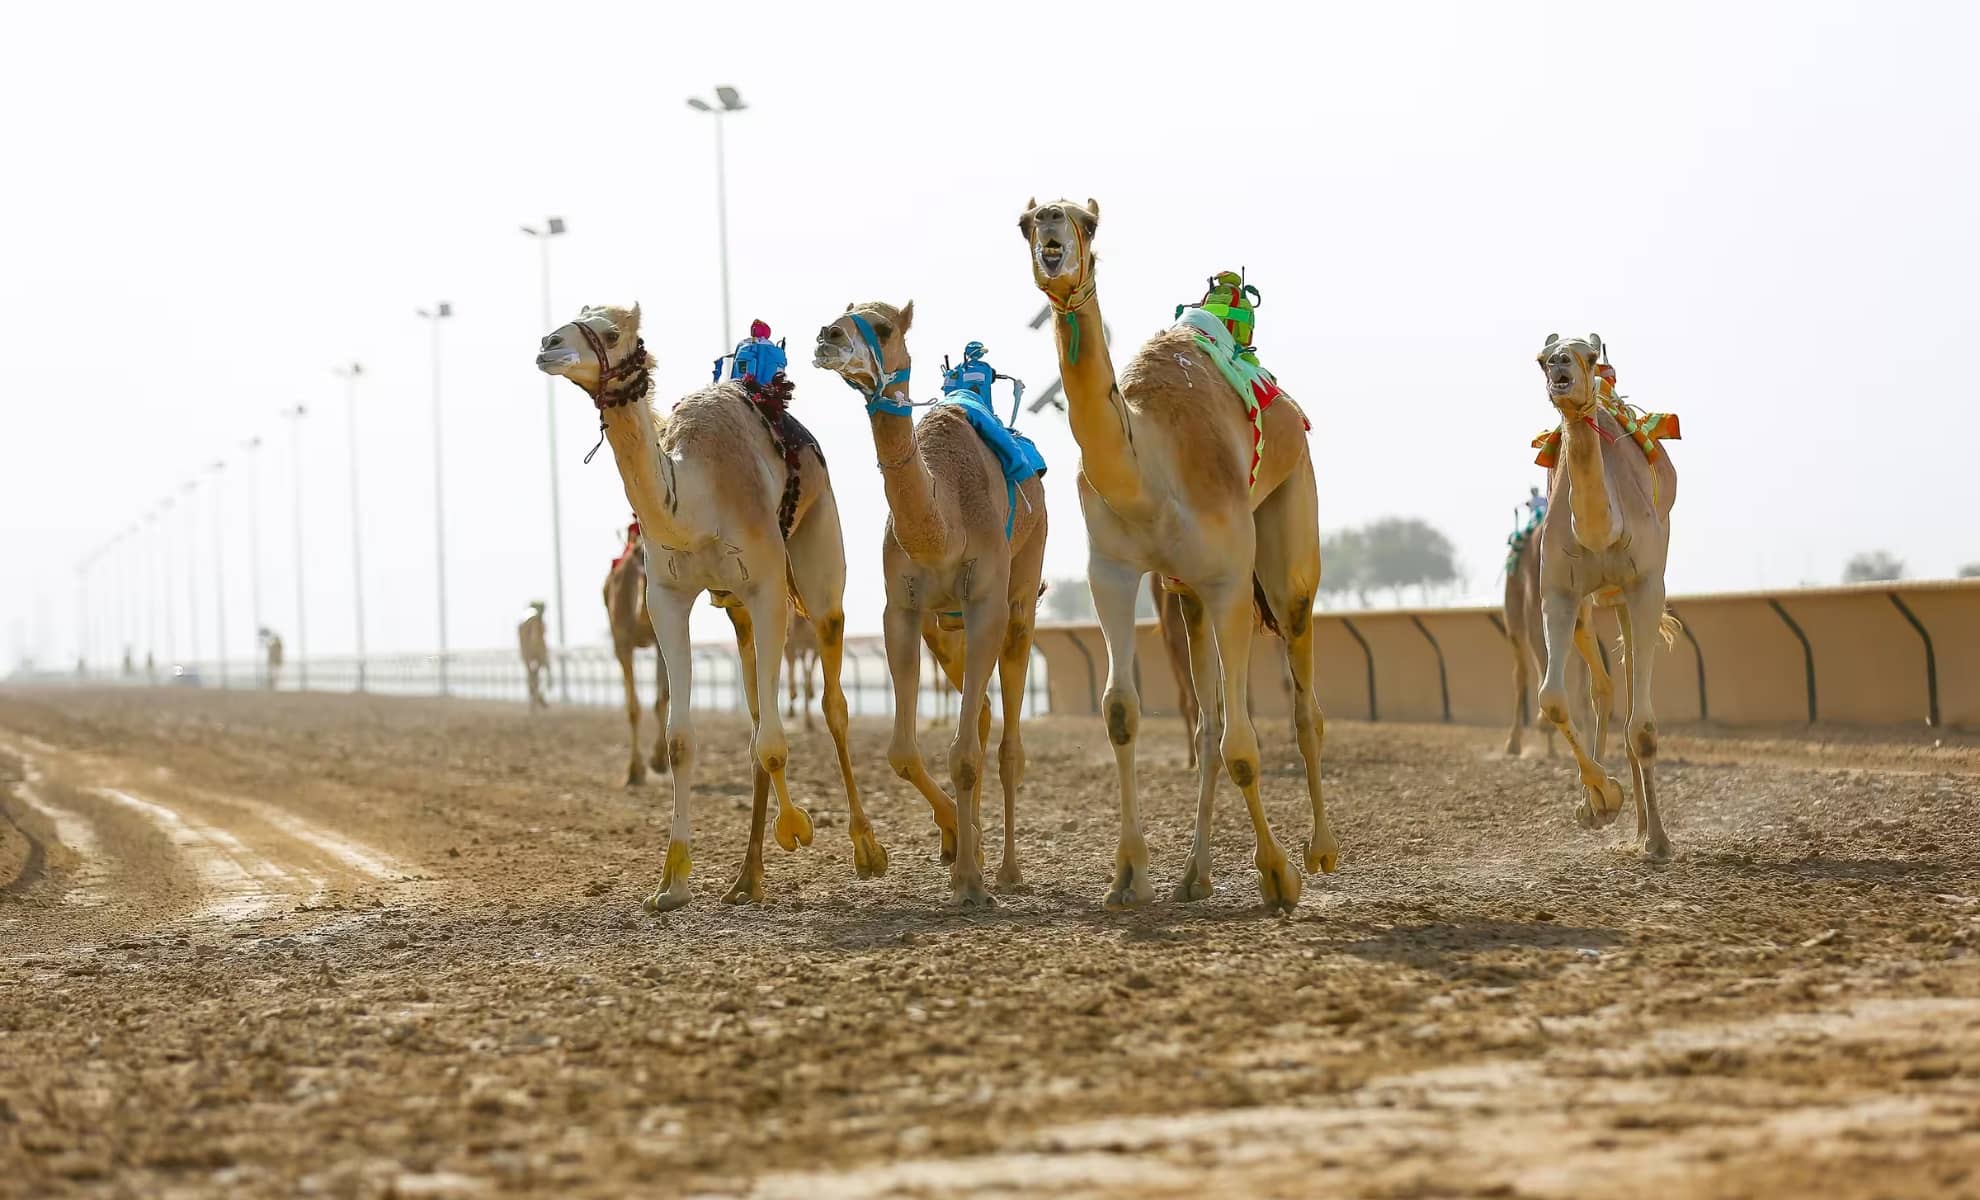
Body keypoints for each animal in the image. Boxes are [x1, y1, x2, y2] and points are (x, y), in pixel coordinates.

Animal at [538, 302, 887, 910]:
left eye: (611, 330)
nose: (547, 345)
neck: (693, 499)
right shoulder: (667, 599)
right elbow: (684, 739)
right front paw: (671, 882)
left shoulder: (767, 587)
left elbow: (774, 740)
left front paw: (798, 828)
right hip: (736, 610)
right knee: (756, 714)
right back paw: (746, 878)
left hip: (820, 567)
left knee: (833, 702)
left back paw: (867, 849)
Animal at [811, 304, 1053, 906]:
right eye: (839, 315)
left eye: (882, 325)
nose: (828, 337)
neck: (942, 525)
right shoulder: (902, 609)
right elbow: (904, 752)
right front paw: (962, 848)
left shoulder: (987, 601)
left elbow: (963, 753)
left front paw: (970, 881)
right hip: (945, 628)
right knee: (984, 713)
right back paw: (977, 845)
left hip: (1021, 597)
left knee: (1009, 741)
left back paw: (1008, 870)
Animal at [1021, 200, 1330, 910]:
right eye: (1024, 223)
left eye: (1084, 223)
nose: (1051, 236)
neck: (1149, 473)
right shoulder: (1111, 571)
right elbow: (1121, 712)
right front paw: (1129, 875)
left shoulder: (1228, 581)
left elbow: (1245, 742)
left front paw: (1279, 876)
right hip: (1186, 594)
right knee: (1207, 724)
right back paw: (1195, 875)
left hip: (1287, 544)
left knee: (1304, 704)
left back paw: (1322, 851)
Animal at [1520, 336, 1679, 863]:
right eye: (1542, 358)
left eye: (1588, 357)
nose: (1559, 365)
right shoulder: (1559, 591)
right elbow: (1552, 700)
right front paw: (1601, 801)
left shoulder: (1646, 584)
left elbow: (1643, 726)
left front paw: (1658, 842)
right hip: (1593, 603)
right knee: (1603, 686)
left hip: (1633, 595)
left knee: (1629, 690)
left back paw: (1645, 831)